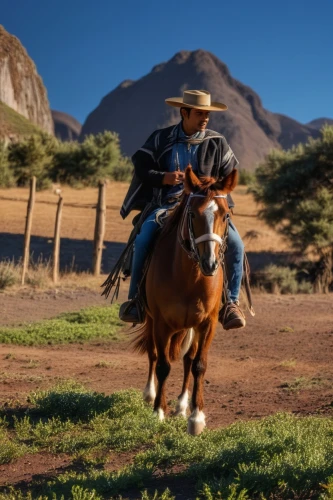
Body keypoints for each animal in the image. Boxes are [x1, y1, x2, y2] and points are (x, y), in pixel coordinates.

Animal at [132, 164, 236, 434]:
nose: (210, 263)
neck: (190, 277)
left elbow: (199, 364)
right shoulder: (161, 323)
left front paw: (196, 417)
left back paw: (181, 405)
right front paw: (158, 411)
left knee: (188, 360)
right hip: (151, 320)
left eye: (225, 215)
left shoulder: (207, 324)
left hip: (191, 326)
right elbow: (163, 364)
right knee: (153, 354)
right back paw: (150, 394)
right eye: (192, 214)